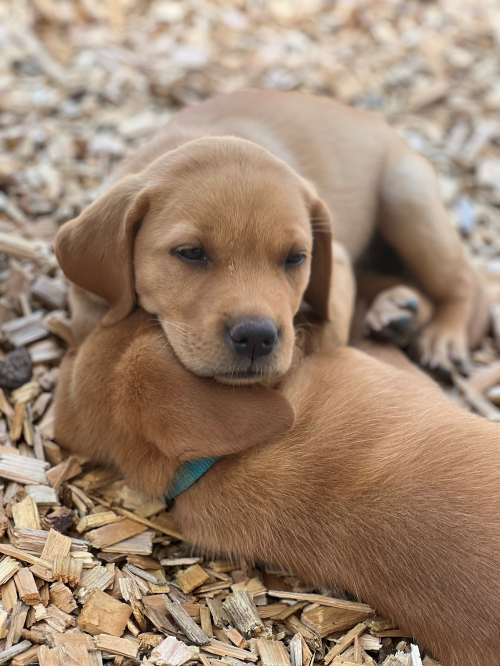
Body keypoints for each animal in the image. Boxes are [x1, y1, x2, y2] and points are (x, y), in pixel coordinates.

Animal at [55, 87, 488, 374]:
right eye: (191, 253)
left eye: (296, 258)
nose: (256, 338)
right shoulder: (87, 297)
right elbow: (94, 320)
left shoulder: (336, 265)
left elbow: (323, 334)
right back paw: (395, 309)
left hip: (406, 197)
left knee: (463, 280)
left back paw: (443, 335)